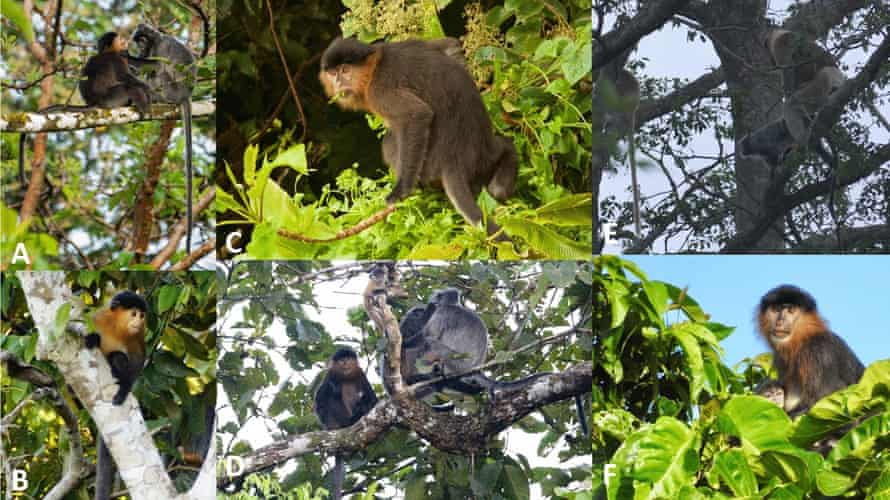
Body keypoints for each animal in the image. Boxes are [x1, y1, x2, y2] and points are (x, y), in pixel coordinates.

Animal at [83, 290, 148, 500]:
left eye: (141, 315)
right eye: (134, 313)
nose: (139, 320)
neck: (116, 327)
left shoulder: (138, 335)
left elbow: (138, 361)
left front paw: (125, 388)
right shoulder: (97, 318)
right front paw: (93, 338)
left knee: (118, 357)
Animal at [129, 23, 199, 254]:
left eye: (142, 40)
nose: (140, 47)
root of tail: (185, 95)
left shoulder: (158, 47)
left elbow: (155, 64)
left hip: (170, 88)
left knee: (159, 69)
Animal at [314, 347, 378, 500]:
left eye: (348, 359)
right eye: (342, 360)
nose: (345, 363)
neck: (346, 377)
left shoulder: (360, 373)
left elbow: (373, 399)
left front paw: (365, 405)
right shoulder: (330, 375)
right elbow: (319, 400)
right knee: (332, 395)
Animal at [319, 37, 518, 239]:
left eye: (345, 70)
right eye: (333, 73)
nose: (337, 81)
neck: (374, 67)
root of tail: (454, 159)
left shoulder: (379, 89)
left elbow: (416, 115)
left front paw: (401, 190)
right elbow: (449, 45)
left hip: (429, 165)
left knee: (389, 141)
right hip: (484, 158)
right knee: (500, 165)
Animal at [755, 285, 864, 418]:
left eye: (791, 310)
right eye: (776, 309)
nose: (780, 322)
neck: (801, 341)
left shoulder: (819, 352)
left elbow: (824, 401)